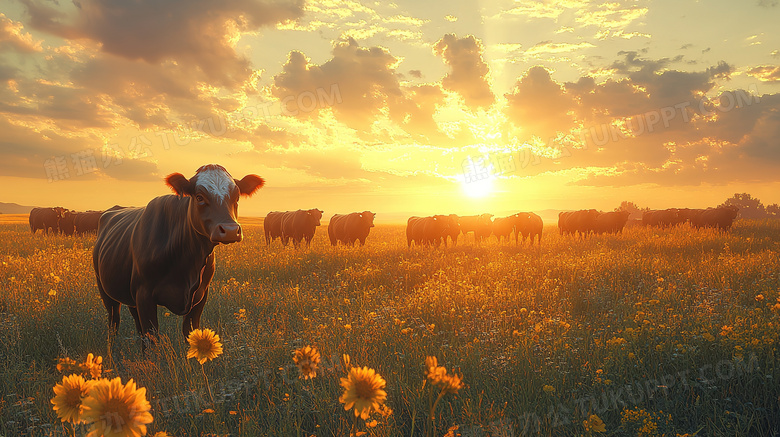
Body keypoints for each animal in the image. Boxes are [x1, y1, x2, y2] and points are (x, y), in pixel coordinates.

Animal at [93, 164, 266, 344]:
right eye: (199, 197)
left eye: (237, 196)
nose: (230, 230)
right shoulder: (144, 295)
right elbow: (151, 339)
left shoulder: (200, 296)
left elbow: (190, 333)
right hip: (105, 291)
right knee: (114, 323)